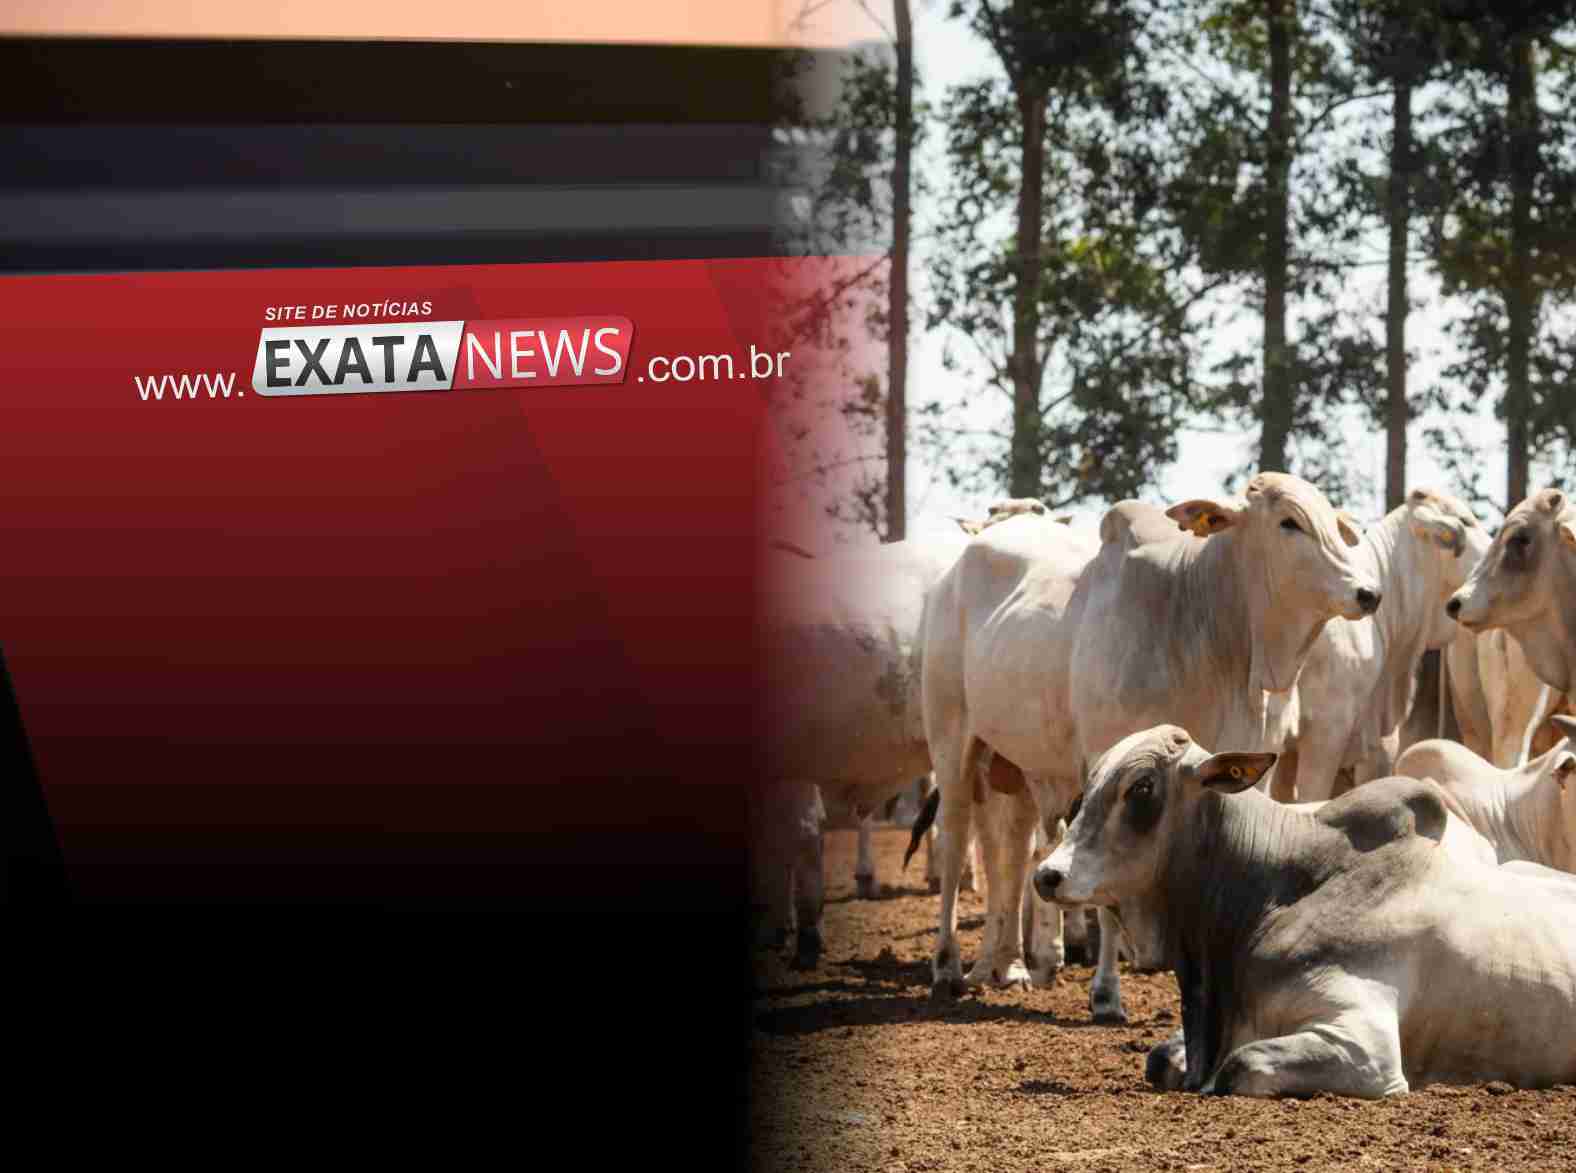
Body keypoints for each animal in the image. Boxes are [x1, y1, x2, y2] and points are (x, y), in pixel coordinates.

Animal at [1033, 725, 1576, 1097]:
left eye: (1141, 787)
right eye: (1087, 789)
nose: (1047, 875)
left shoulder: (1367, 1044)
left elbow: (1239, 1066)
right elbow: (1162, 1058)